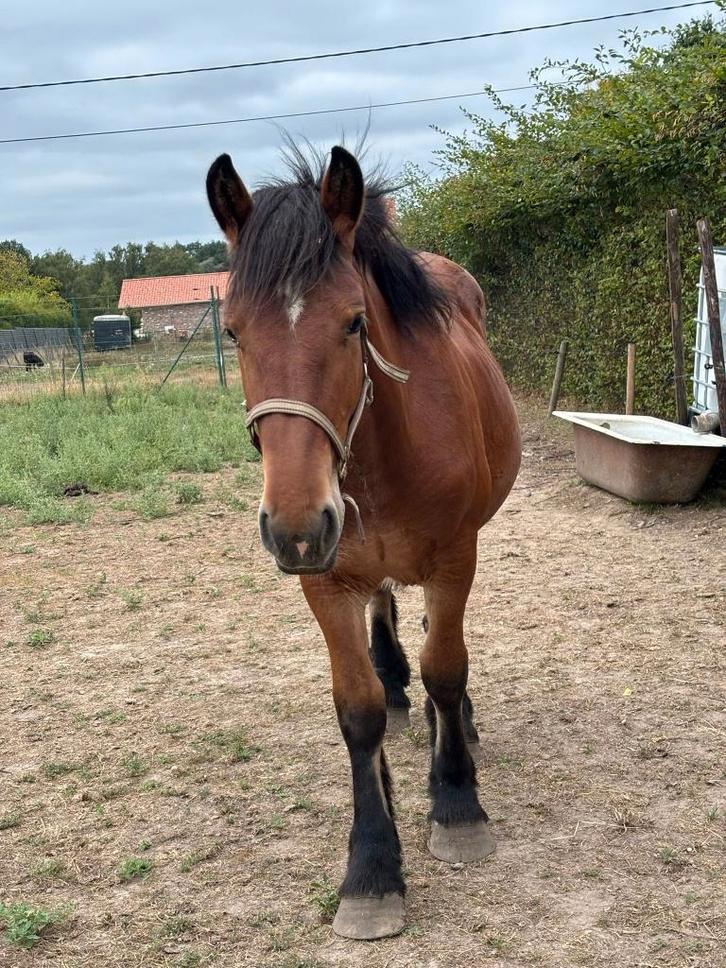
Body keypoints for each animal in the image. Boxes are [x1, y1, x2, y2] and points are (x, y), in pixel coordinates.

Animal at [206, 142, 521, 940]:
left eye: (353, 323)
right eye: (233, 331)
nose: (294, 525)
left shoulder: (456, 556)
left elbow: (447, 666)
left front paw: (457, 805)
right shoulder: (326, 582)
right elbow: (358, 711)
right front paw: (373, 869)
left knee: (443, 644)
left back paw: (452, 722)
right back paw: (395, 680)